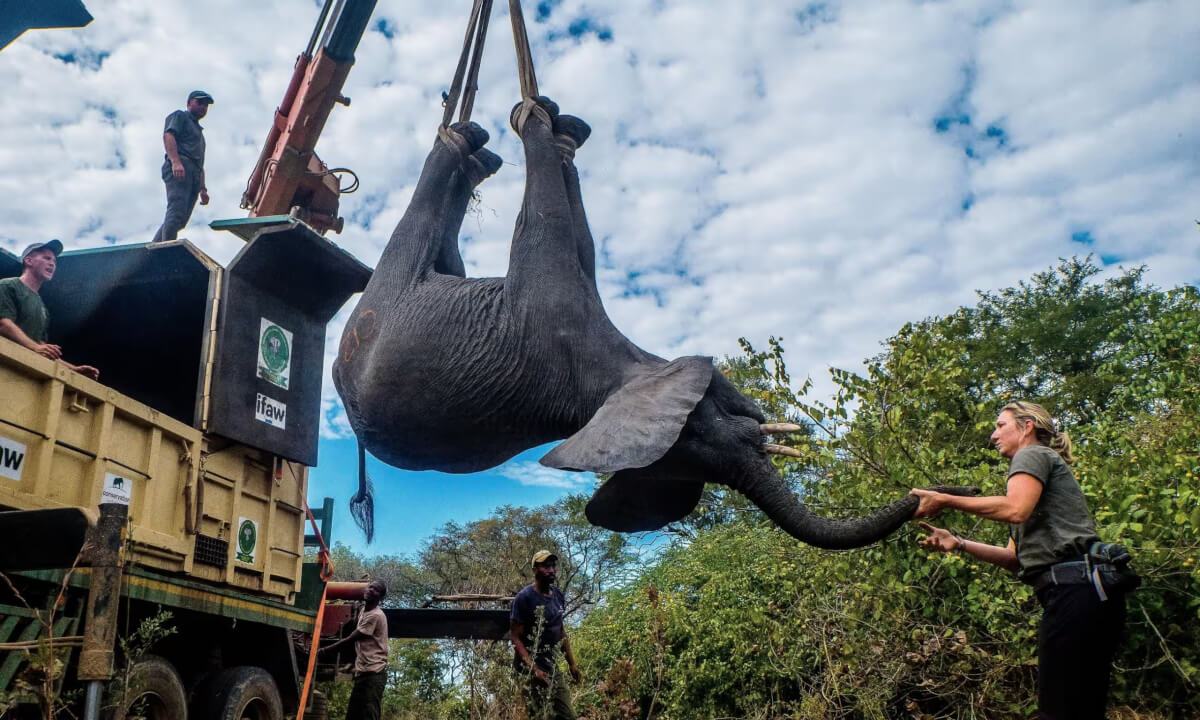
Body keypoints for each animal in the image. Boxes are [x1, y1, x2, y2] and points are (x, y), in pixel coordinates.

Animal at [333, 97, 969, 544]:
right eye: (702, 433)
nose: (944, 494)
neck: (612, 378)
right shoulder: (549, 308)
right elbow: (550, 226)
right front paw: (533, 118)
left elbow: (582, 235)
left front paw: (564, 132)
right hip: (382, 298)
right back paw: (468, 139)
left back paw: (481, 149)